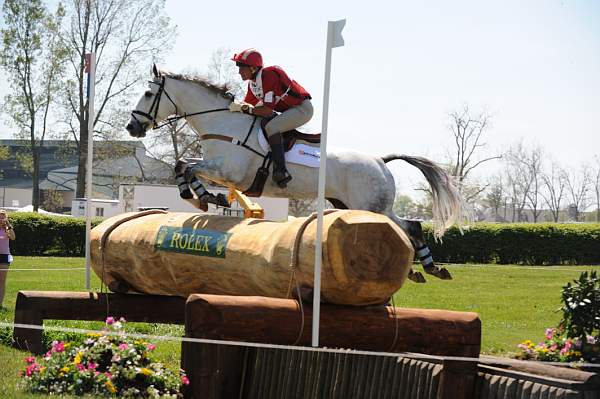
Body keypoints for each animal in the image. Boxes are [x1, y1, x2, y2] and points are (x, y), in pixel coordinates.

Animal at [126, 65, 464, 282]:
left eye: (147, 93)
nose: (132, 127)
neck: (222, 123)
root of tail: (380, 161)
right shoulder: (217, 167)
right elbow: (182, 164)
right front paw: (203, 197)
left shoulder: (229, 172)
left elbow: (189, 167)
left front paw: (203, 197)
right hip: (355, 205)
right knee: (408, 226)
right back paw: (424, 269)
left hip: (371, 205)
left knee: (408, 227)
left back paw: (429, 268)